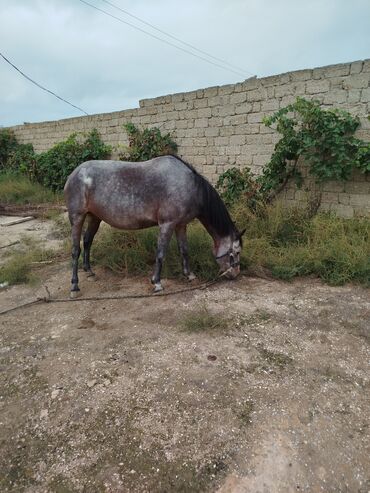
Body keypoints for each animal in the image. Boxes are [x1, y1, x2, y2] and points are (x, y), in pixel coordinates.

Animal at [64, 156, 246, 298]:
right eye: (236, 252)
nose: (235, 274)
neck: (190, 186)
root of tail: (74, 174)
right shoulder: (167, 225)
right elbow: (160, 254)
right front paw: (157, 283)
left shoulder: (181, 225)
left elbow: (184, 250)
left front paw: (189, 275)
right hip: (77, 217)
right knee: (75, 250)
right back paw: (74, 286)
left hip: (94, 217)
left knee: (87, 241)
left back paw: (89, 272)